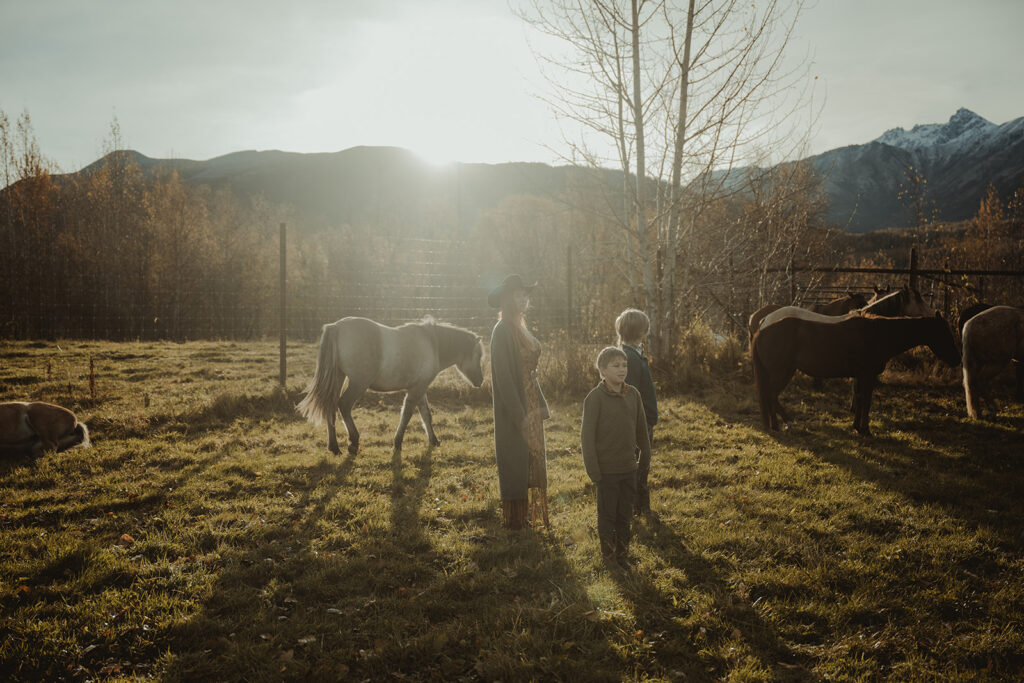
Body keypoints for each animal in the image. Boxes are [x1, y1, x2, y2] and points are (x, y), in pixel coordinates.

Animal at [299, 317, 485, 456]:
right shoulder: (417, 389)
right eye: (478, 355)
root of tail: (336, 327)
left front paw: (434, 440)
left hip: (338, 377)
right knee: (343, 405)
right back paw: (353, 442)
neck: (433, 344)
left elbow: (426, 415)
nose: (480, 381)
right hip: (358, 383)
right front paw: (397, 443)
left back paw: (334, 447)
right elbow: (407, 414)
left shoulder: (419, 388)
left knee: (330, 405)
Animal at [753, 313, 958, 436]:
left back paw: (775, 425)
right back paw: (787, 422)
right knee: (771, 396)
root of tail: (761, 331)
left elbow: (859, 400)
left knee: (770, 397)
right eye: (943, 333)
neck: (878, 335)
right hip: (782, 372)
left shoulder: (860, 376)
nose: (957, 359)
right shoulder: (867, 376)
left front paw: (856, 427)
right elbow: (866, 401)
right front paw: (865, 429)